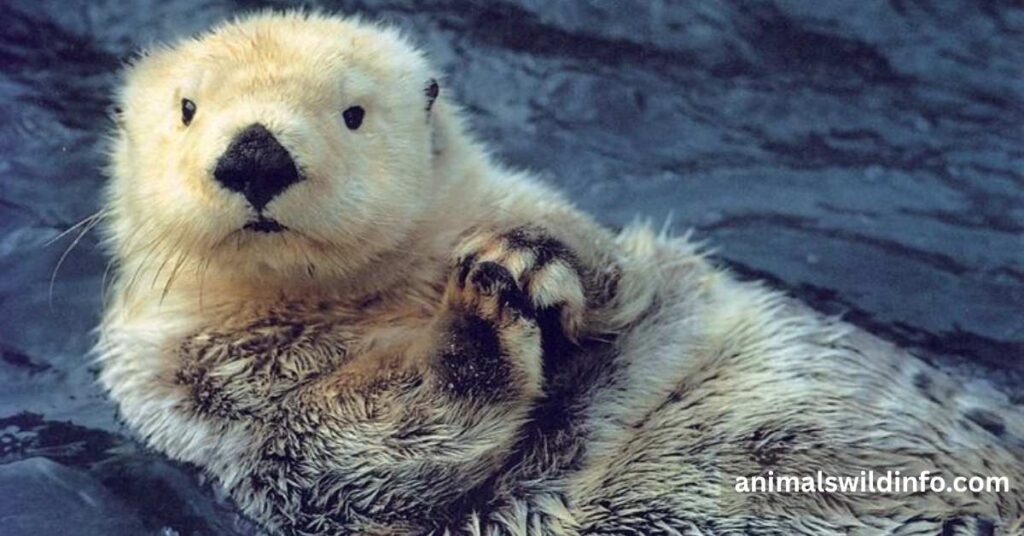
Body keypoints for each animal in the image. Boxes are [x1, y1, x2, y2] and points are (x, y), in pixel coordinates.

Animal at [97, 11, 1024, 535]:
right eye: (188, 108)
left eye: (352, 113)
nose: (256, 153)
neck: (369, 305)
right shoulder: (201, 403)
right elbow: (364, 451)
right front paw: (480, 317)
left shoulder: (561, 232)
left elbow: (621, 277)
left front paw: (530, 258)